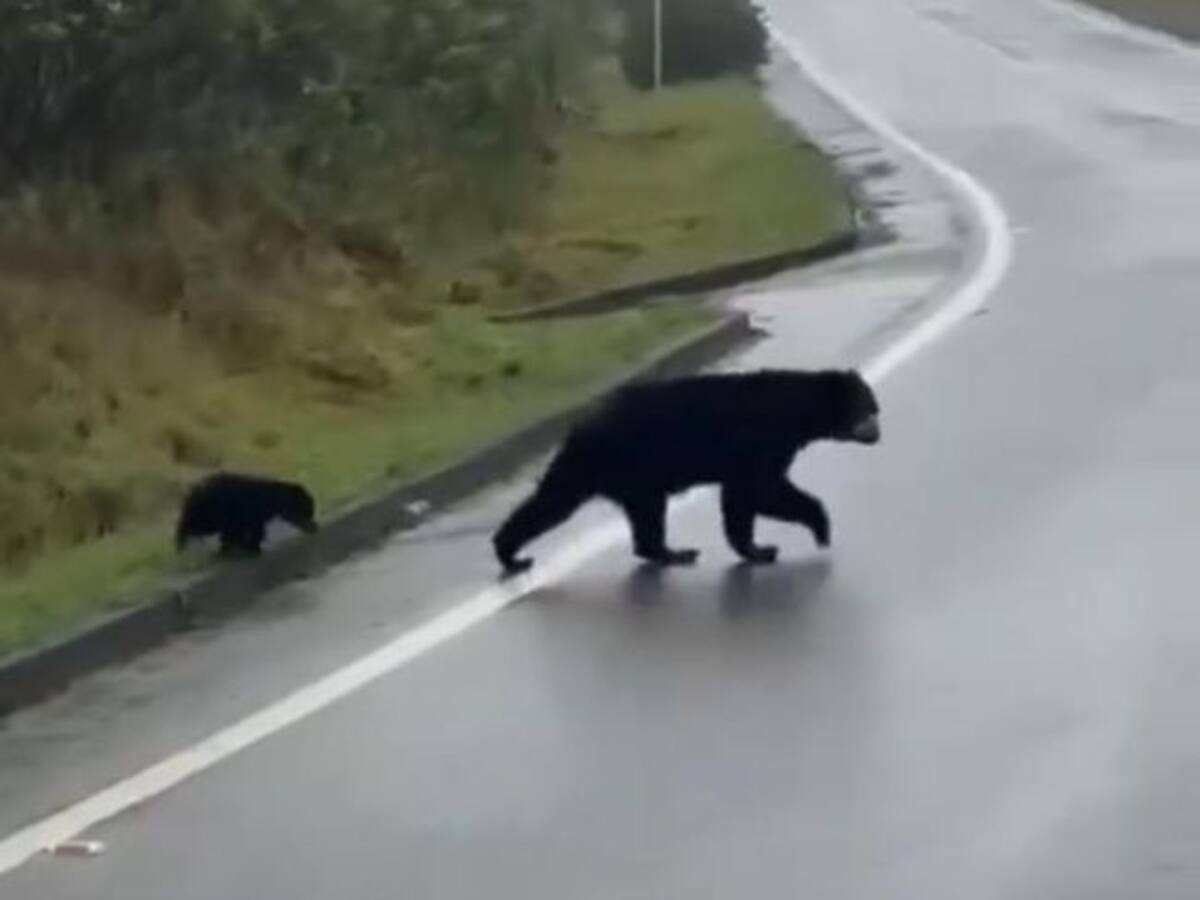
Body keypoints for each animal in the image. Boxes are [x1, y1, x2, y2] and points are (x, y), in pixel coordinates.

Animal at [175, 472, 318, 557]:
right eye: (307, 511)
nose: (314, 527)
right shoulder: (245, 514)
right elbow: (243, 532)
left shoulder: (252, 518)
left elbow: (251, 531)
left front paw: (246, 547)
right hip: (206, 512)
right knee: (190, 524)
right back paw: (182, 545)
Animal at [492, 368, 880, 575]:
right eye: (868, 408)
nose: (878, 433)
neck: (798, 409)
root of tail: (578, 426)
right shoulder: (763, 439)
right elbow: (762, 489)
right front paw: (817, 529)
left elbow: (740, 501)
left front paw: (756, 548)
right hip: (621, 462)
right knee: (558, 501)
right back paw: (511, 554)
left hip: (625, 473)